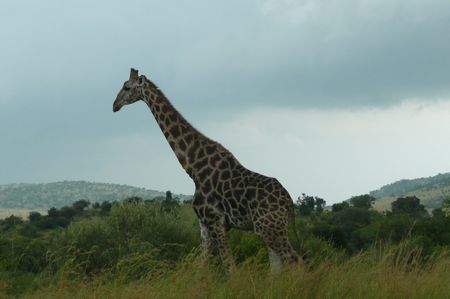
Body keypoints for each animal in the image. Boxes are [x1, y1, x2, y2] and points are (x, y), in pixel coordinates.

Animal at [112, 68, 298, 272]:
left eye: (126, 87)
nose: (114, 105)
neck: (193, 168)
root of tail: (289, 202)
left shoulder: (215, 221)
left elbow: (230, 268)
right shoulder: (204, 224)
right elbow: (201, 265)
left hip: (270, 228)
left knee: (296, 260)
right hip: (268, 229)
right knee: (278, 268)